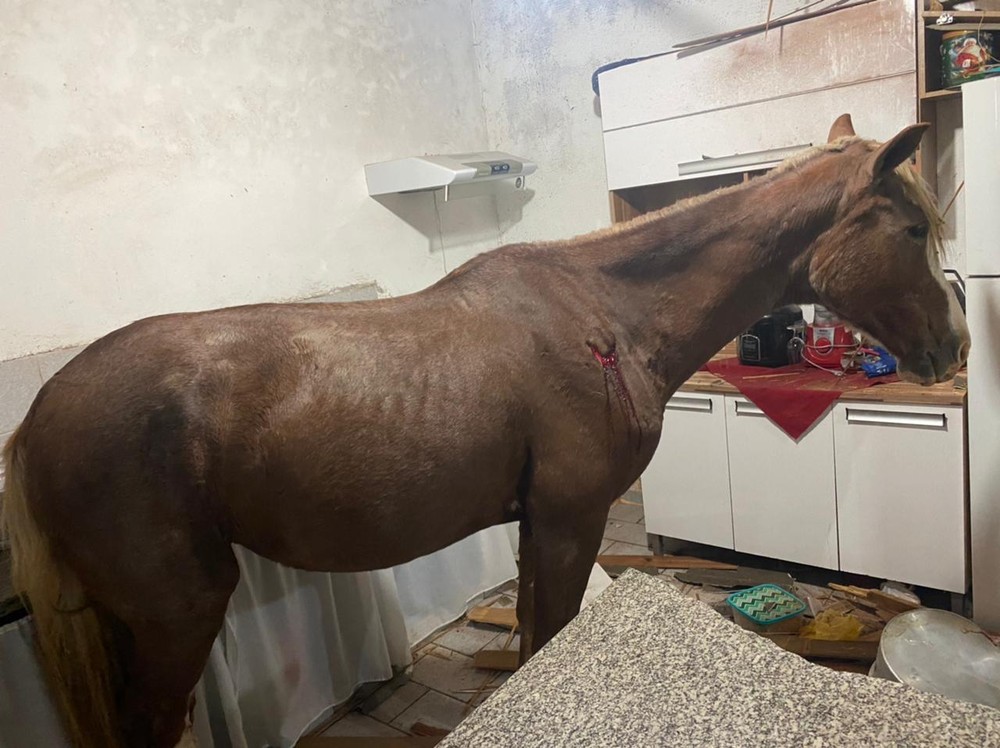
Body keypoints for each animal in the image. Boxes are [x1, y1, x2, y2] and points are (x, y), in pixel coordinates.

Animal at [1, 113, 969, 747]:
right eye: (910, 226)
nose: (955, 348)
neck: (606, 317)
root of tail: (36, 419)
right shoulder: (572, 521)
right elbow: (550, 636)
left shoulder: (538, 525)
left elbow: (540, 639)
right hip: (180, 614)